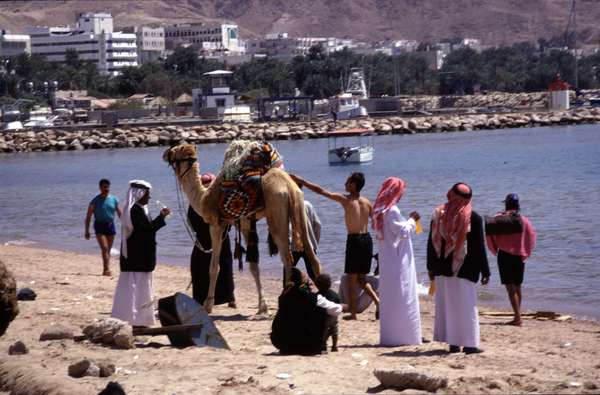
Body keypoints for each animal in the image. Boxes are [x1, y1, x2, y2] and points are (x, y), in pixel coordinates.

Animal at [162, 142, 322, 316]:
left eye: (175, 150)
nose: (165, 153)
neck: (203, 198)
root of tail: (289, 186)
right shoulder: (245, 224)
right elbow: (253, 266)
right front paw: (262, 306)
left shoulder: (216, 225)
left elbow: (213, 266)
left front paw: (207, 305)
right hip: (299, 208)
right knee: (312, 255)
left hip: (277, 211)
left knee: (288, 258)